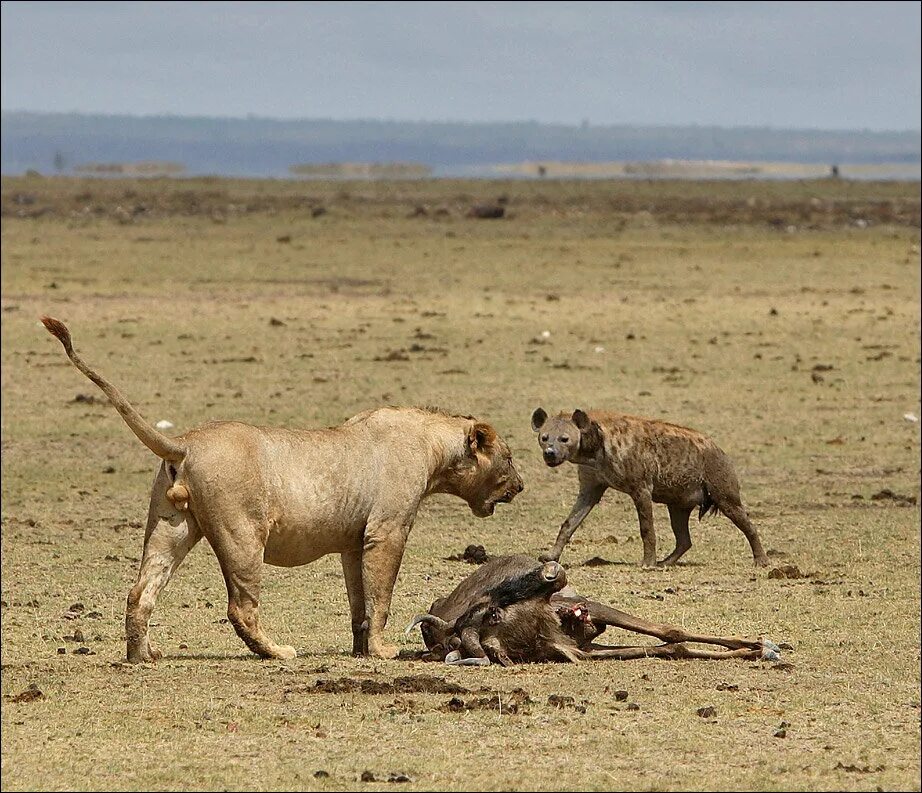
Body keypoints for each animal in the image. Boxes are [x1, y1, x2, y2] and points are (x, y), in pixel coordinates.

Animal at [39, 316, 520, 664]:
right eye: (510, 456)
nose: (520, 485)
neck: (433, 446)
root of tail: (186, 443)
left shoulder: (353, 542)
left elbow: (359, 602)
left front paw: (361, 650)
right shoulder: (387, 531)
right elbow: (380, 596)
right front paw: (384, 651)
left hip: (170, 526)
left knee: (140, 592)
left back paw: (143, 656)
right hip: (242, 533)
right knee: (240, 607)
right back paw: (277, 652)